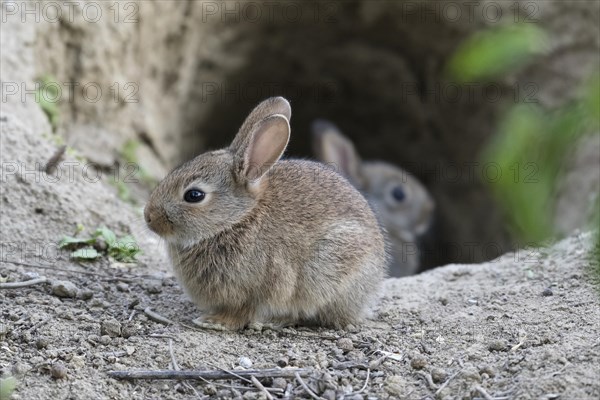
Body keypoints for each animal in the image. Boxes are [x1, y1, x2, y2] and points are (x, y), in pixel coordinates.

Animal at [145, 97, 390, 328]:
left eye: (194, 195)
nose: (148, 217)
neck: (236, 219)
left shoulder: (260, 286)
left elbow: (242, 311)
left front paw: (214, 322)